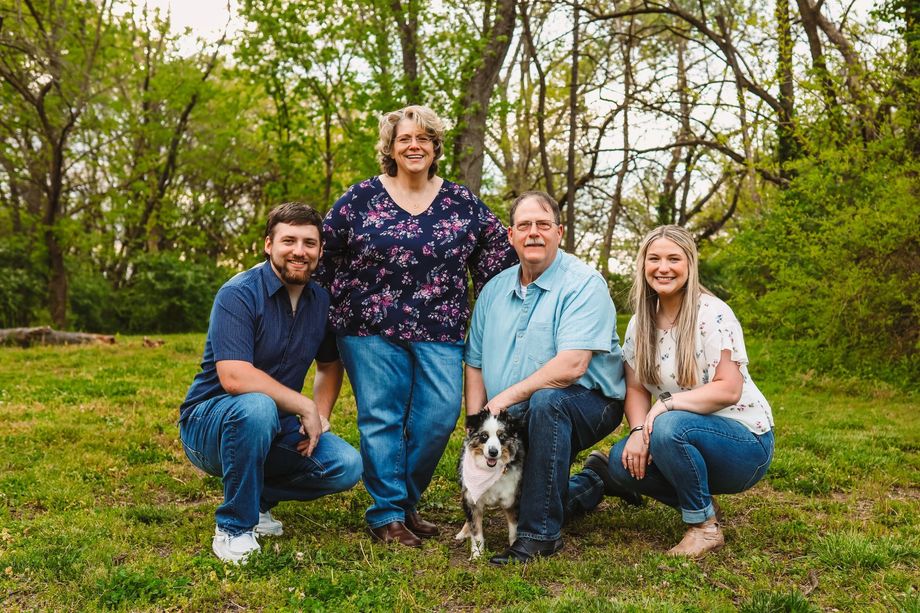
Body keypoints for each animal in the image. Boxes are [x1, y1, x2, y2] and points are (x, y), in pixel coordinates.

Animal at [454, 406, 524, 560]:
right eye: (484, 436)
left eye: (502, 436)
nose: (493, 452)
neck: (489, 471)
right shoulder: (472, 500)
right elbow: (476, 531)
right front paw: (477, 555)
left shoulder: (511, 500)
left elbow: (514, 530)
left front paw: (514, 548)